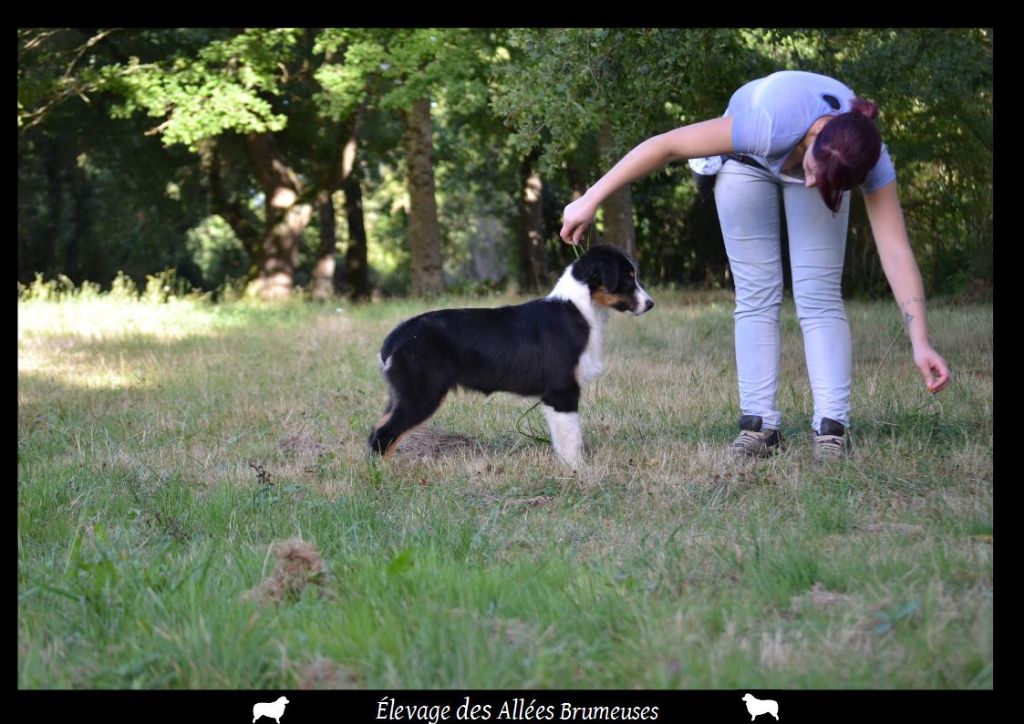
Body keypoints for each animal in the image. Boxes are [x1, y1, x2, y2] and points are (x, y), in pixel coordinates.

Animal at [372, 246, 651, 466]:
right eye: (627, 278)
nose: (650, 304)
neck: (580, 309)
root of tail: (393, 339)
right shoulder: (562, 391)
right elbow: (571, 440)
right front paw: (578, 471)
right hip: (422, 394)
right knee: (384, 434)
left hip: (401, 394)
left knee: (377, 428)